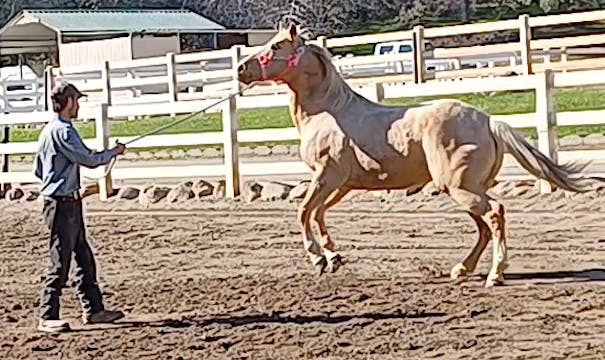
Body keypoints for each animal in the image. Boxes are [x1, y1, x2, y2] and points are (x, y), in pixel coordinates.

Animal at [236, 21, 604, 286]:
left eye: (275, 46)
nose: (241, 69)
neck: (329, 111)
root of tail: (488, 121)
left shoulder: (326, 176)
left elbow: (303, 212)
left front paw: (317, 257)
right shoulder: (340, 184)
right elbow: (318, 213)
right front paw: (333, 257)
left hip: (461, 188)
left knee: (495, 215)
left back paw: (494, 274)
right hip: (463, 189)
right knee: (484, 226)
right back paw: (461, 270)